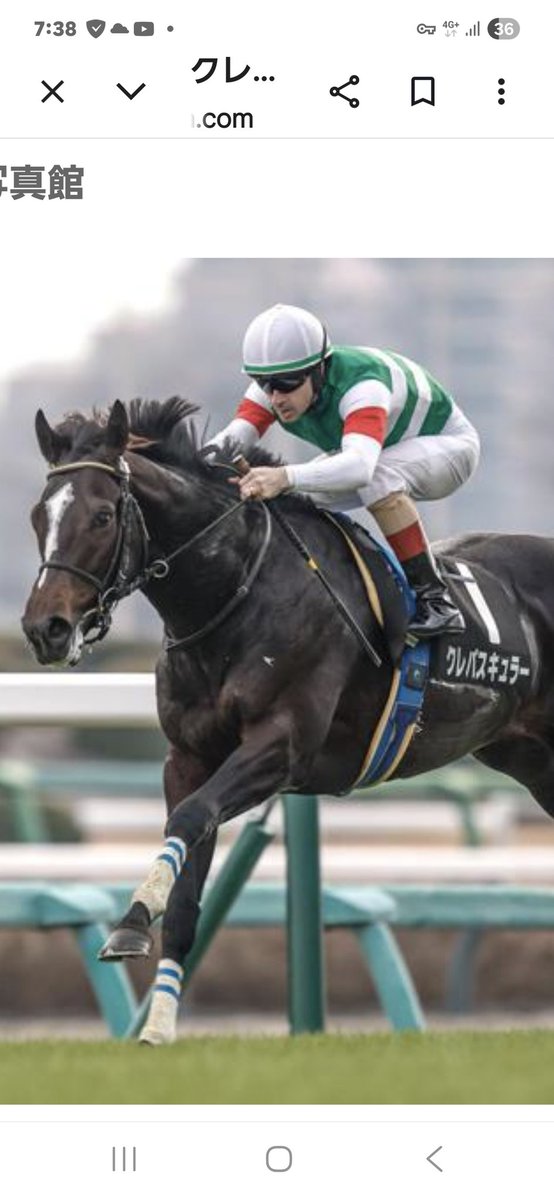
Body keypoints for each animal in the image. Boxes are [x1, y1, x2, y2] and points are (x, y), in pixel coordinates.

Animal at [21, 396, 554, 1044]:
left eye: (101, 516)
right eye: (38, 516)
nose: (45, 629)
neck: (237, 595)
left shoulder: (283, 745)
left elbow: (193, 816)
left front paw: (133, 917)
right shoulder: (189, 757)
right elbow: (185, 872)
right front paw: (158, 1023)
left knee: (381, 477)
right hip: (533, 761)